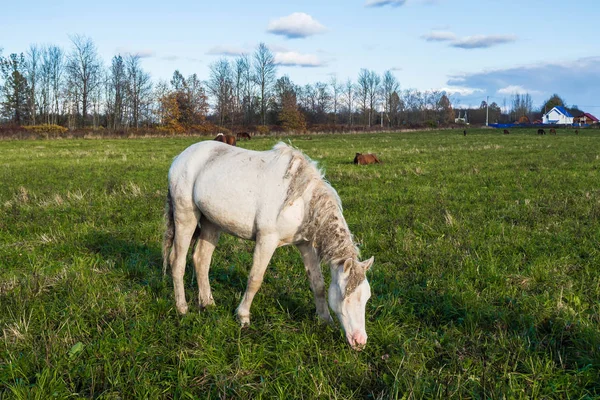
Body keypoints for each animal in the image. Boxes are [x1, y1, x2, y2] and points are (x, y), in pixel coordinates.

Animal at [162, 142, 372, 348]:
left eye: (366, 297)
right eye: (345, 295)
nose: (360, 341)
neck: (300, 199)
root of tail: (181, 157)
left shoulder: (305, 245)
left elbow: (318, 283)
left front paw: (325, 320)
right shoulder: (266, 240)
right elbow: (255, 279)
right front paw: (243, 317)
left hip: (211, 223)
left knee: (201, 260)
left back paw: (208, 303)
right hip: (185, 217)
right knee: (177, 262)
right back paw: (182, 308)